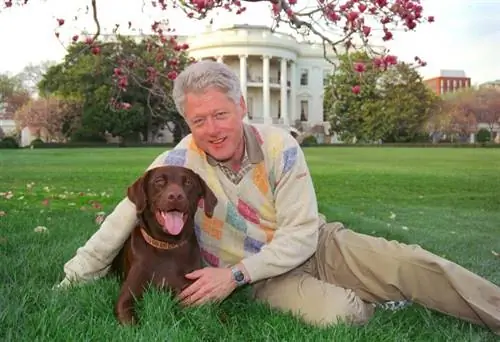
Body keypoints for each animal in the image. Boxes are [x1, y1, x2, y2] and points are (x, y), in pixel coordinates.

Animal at [111, 164, 217, 324]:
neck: (167, 245)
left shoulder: (191, 292)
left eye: (188, 182)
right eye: (159, 181)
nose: (176, 196)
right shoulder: (126, 297)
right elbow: (132, 322)